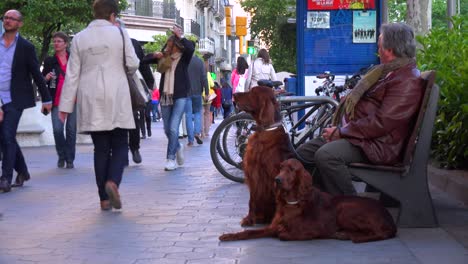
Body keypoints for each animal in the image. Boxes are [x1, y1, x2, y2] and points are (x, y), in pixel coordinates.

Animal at [220, 159, 398, 243]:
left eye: (292, 169)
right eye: (280, 167)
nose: (277, 180)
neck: (291, 203)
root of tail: (390, 220)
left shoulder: (316, 229)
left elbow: (284, 234)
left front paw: (285, 232)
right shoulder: (271, 227)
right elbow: (249, 232)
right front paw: (229, 235)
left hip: (344, 209)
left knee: (380, 233)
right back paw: (344, 234)